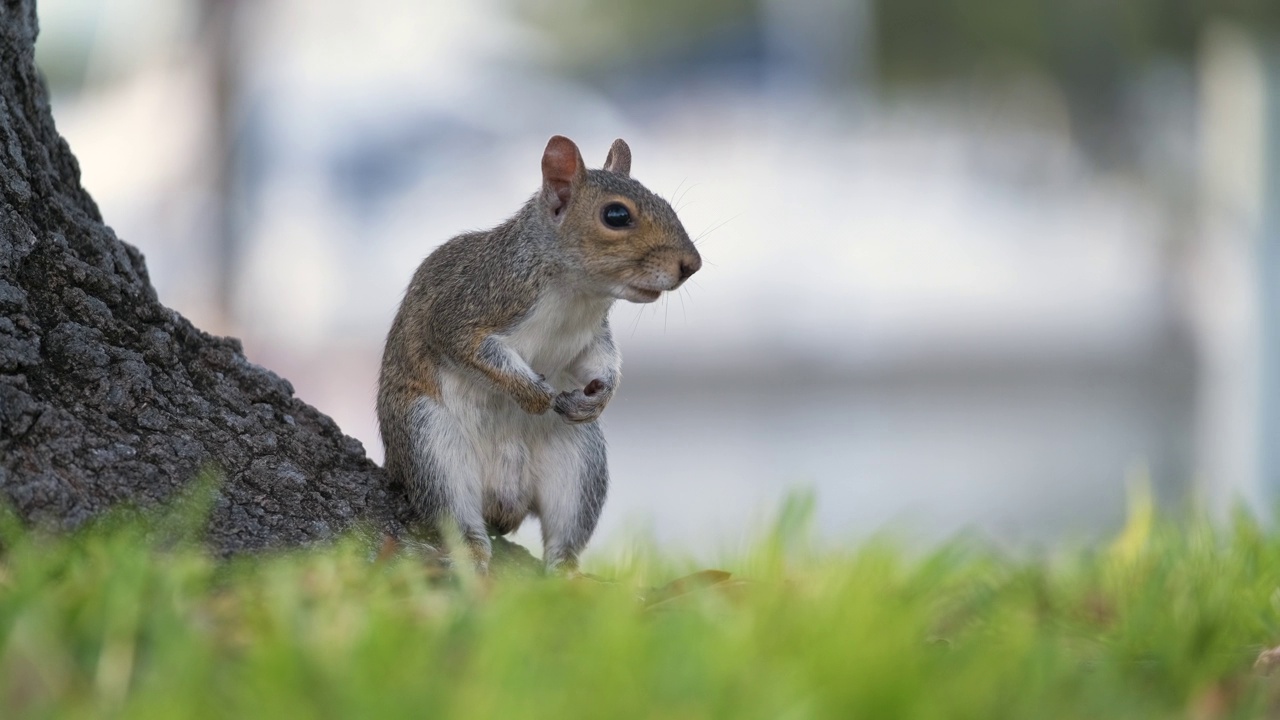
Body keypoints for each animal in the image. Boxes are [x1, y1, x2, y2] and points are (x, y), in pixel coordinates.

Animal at [373, 134, 706, 571]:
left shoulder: (590, 338)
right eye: (616, 215)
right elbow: (471, 349)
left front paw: (601, 396)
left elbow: (599, 361)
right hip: (429, 443)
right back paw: (473, 553)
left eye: (665, 203)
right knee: (455, 515)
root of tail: (504, 504)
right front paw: (533, 394)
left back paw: (566, 570)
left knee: (565, 533)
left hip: (580, 463)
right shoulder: (469, 306)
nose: (692, 264)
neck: (577, 294)